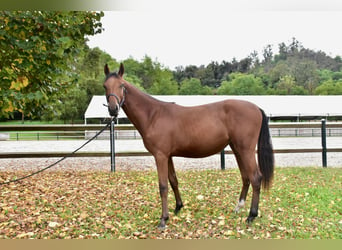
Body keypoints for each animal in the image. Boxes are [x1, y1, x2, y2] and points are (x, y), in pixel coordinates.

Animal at [103, 63, 274, 229]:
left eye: (121, 85)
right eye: (105, 86)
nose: (113, 109)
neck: (153, 115)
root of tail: (256, 108)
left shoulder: (160, 156)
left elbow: (163, 186)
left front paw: (163, 220)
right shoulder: (168, 156)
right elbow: (173, 181)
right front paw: (178, 207)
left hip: (246, 150)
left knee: (255, 178)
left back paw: (251, 215)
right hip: (237, 149)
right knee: (246, 177)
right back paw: (238, 207)